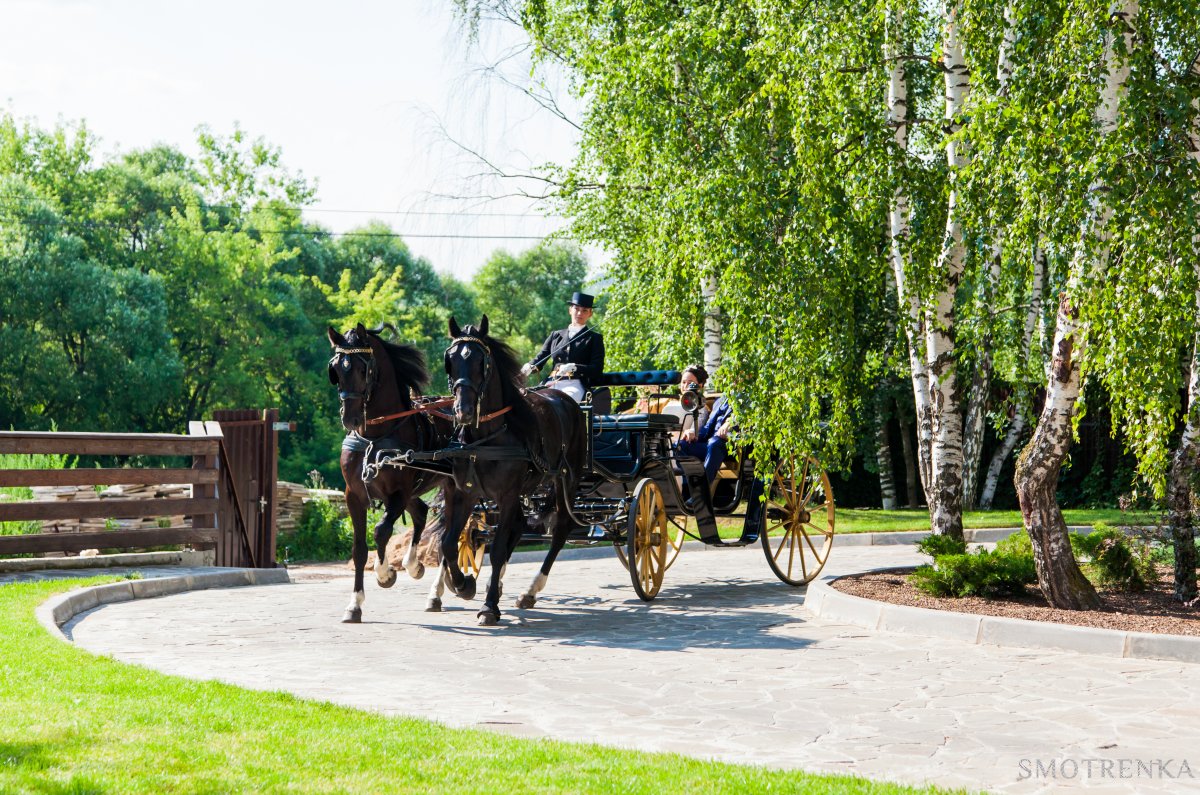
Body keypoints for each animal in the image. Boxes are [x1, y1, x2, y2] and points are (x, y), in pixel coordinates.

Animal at [328, 321, 451, 624]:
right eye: (335, 370)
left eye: (363, 369)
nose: (350, 419)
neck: (376, 436)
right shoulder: (354, 495)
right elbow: (359, 549)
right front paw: (355, 605)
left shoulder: (398, 493)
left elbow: (382, 530)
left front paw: (385, 574)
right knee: (421, 513)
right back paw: (414, 565)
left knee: (451, 534)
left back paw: (435, 591)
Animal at [441, 314, 590, 624]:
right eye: (450, 359)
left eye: (481, 361)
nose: (463, 411)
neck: (486, 438)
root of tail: (565, 398)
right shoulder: (466, 493)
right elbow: (448, 544)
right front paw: (464, 585)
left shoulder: (507, 495)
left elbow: (497, 550)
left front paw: (489, 607)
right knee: (521, 525)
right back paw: (495, 585)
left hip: (566, 482)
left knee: (560, 530)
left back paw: (530, 590)